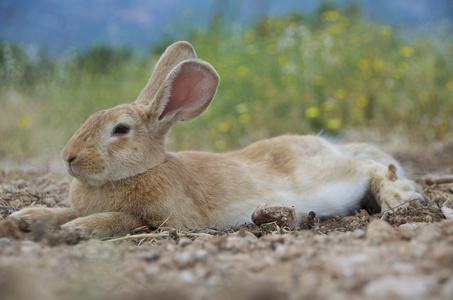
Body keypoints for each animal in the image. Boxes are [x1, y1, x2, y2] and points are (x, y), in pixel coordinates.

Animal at [8, 40, 422, 239]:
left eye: (121, 130)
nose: (68, 158)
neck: (140, 171)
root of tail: (326, 145)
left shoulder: (166, 220)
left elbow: (120, 219)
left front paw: (77, 230)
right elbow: (64, 210)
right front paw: (26, 218)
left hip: (338, 173)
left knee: (371, 167)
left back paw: (400, 198)